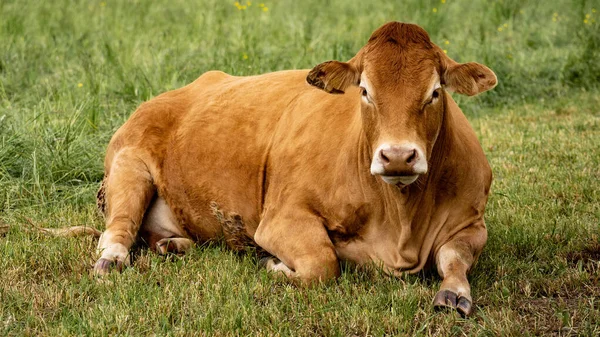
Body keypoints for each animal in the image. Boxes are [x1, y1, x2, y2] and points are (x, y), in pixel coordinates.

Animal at [94, 21, 496, 316]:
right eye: (365, 91)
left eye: (435, 93)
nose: (397, 156)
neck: (400, 221)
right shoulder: (281, 218)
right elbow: (323, 263)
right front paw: (275, 266)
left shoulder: (471, 222)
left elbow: (455, 257)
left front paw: (454, 293)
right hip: (129, 168)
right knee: (119, 228)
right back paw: (111, 259)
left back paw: (172, 245)